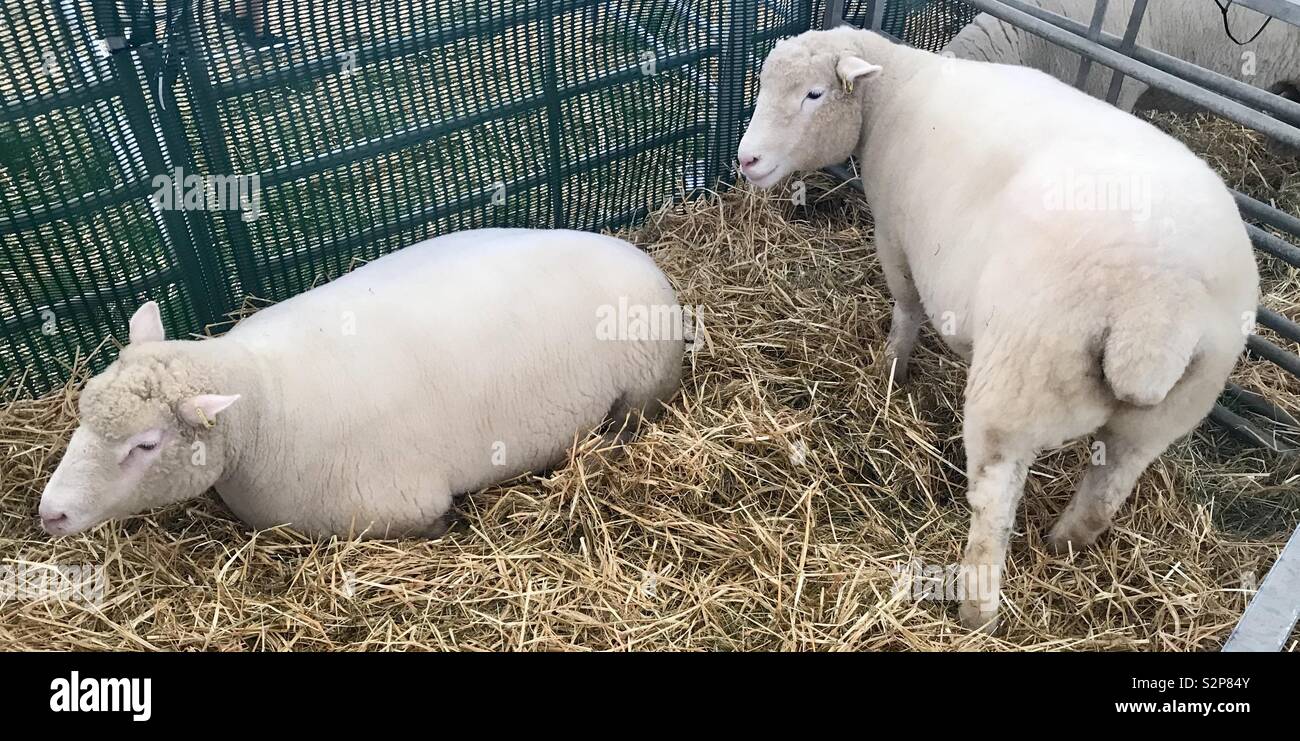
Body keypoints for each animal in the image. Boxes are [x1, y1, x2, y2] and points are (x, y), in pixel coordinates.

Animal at [38, 228, 684, 539]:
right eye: (81, 414)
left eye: (145, 446)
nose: (50, 514)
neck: (263, 402)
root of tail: (638, 251)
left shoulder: (401, 507)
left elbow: (436, 521)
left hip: (643, 390)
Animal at [737, 27, 1258, 632]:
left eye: (814, 94)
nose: (746, 160)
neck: (898, 89)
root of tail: (1158, 309)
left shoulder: (894, 236)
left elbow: (907, 308)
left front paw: (892, 367)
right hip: (1168, 412)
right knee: (1107, 490)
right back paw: (1061, 547)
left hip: (1017, 384)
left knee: (993, 501)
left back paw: (976, 610)